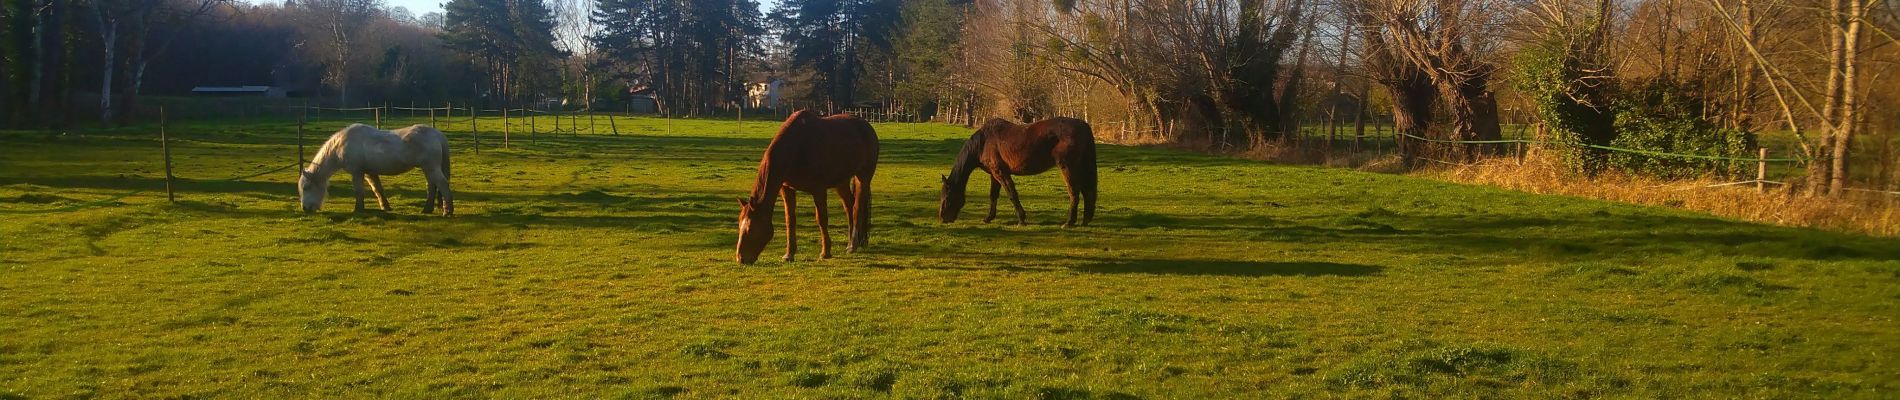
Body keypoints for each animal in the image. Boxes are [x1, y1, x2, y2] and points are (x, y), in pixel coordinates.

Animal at [300, 123, 456, 215]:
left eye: (307, 187)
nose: (305, 209)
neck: (341, 144)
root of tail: (438, 135)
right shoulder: (370, 172)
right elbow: (378, 189)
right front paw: (385, 207)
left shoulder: (357, 172)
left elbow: (359, 191)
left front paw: (358, 209)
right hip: (428, 169)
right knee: (432, 186)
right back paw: (427, 209)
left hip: (431, 168)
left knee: (442, 184)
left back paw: (447, 211)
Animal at [733, 110, 874, 263]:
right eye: (739, 225)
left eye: (750, 228)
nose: (741, 258)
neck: (797, 147)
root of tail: (866, 126)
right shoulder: (787, 188)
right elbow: (790, 220)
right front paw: (789, 254)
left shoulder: (818, 189)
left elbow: (822, 219)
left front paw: (825, 252)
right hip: (841, 182)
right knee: (849, 206)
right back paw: (851, 243)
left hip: (863, 177)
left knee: (856, 208)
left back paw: (853, 245)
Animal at [938, 117, 1102, 226]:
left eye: (947, 197)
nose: (943, 218)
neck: (984, 142)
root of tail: (1084, 125)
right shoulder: (994, 175)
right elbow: (993, 196)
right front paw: (988, 218)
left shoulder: (1001, 173)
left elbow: (1012, 194)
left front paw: (1021, 220)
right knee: (1088, 191)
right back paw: (1085, 220)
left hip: (1067, 166)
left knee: (1074, 192)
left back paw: (1068, 222)